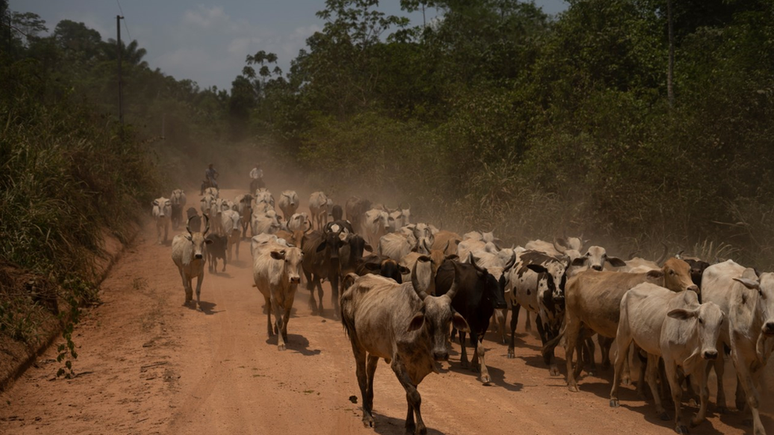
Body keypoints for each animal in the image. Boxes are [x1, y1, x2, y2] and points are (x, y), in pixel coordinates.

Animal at [436, 255, 510, 384]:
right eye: (488, 281)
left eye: (503, 282)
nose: (501, 304)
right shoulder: (471, 324)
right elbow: (479, 347)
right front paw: (485, 374)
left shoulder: (484, 325)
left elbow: (477, 345)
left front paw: (475, 365)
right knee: (459, 337)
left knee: (461, 337)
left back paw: (464, 360)